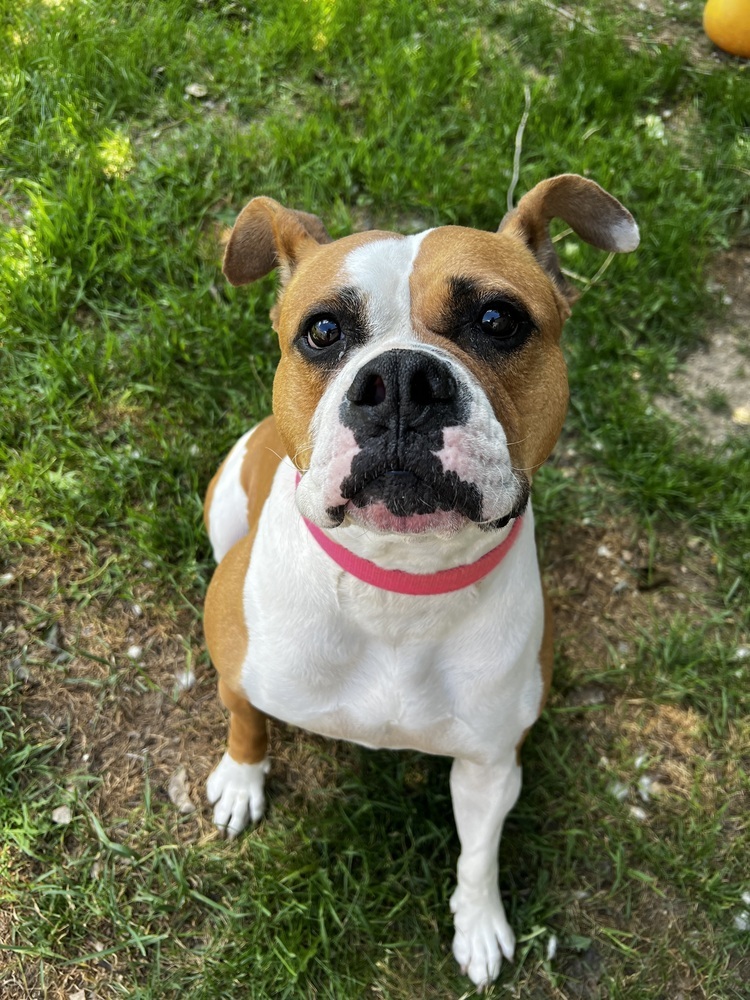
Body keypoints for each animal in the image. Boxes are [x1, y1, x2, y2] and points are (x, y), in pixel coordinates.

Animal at [201, 178, 640, 984]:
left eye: (498, 320)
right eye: (322, 330)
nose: (403, 380)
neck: (398, 584)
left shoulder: (492, 764)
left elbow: (479, 852)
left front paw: (480, 922)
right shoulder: (238, 671)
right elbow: (246, 721)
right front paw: (242, 780)